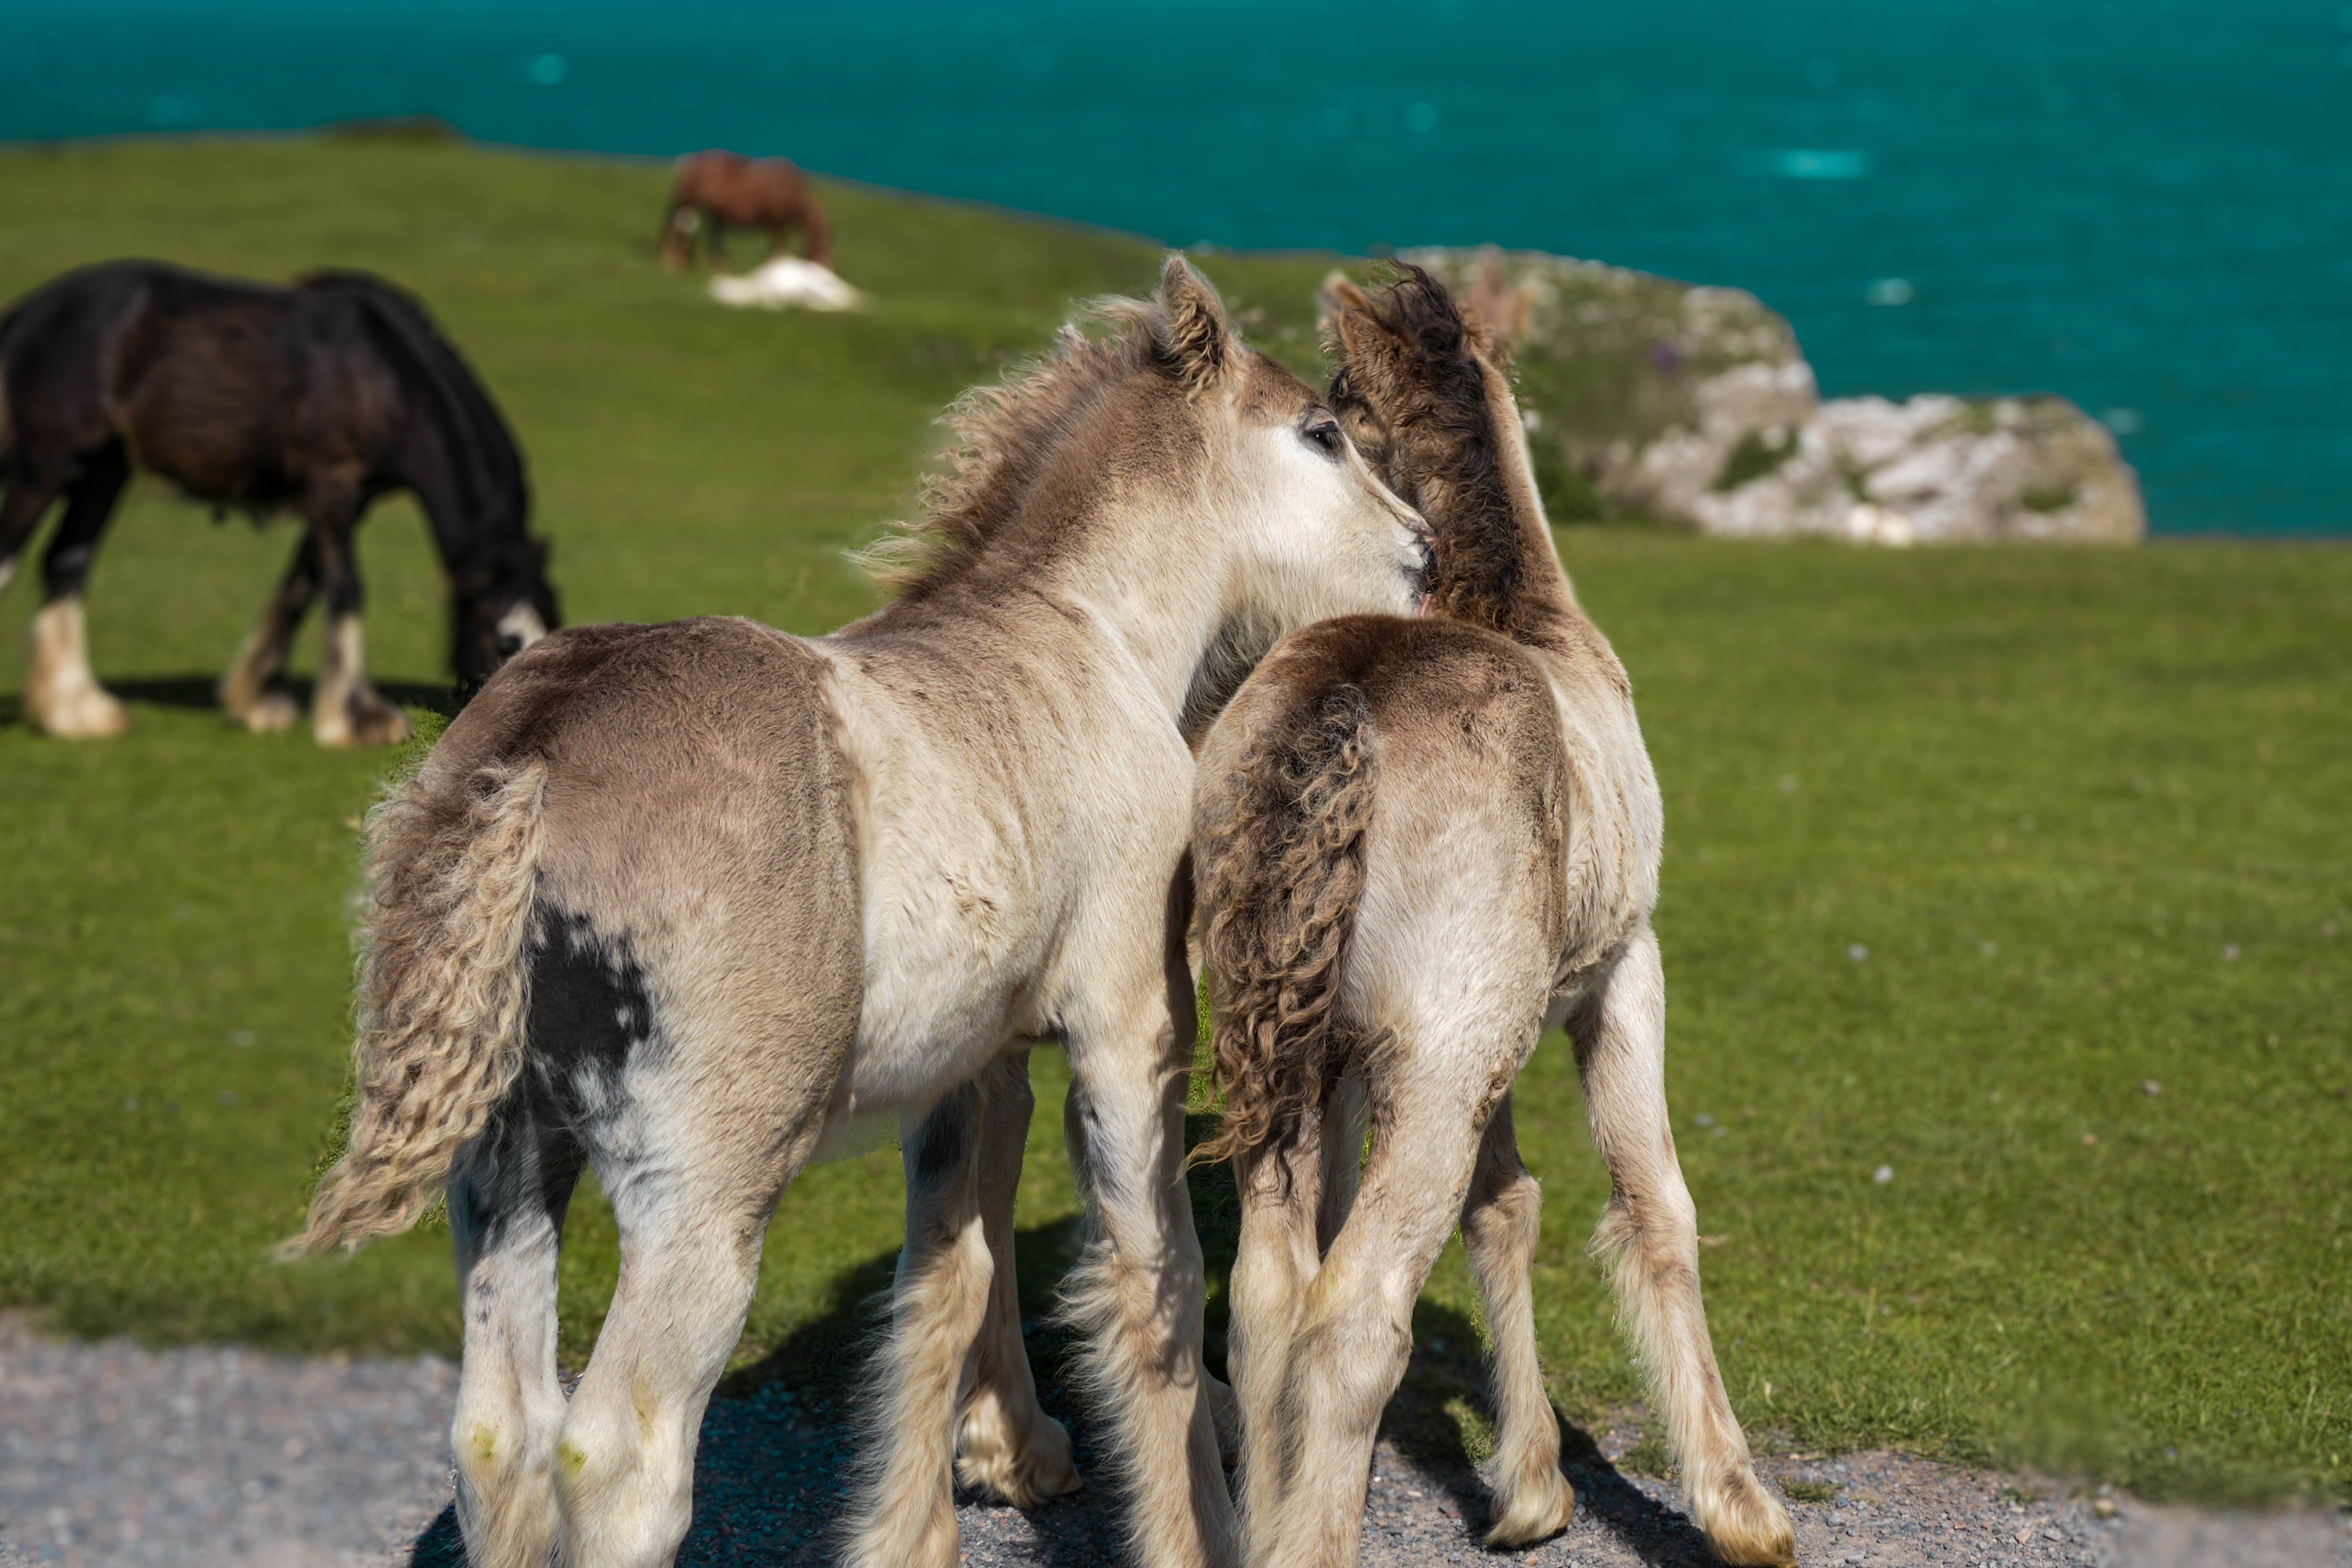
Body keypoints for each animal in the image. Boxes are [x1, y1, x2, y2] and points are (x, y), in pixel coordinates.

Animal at [0, 260, 559, 746]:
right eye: (504, 640)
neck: (384, 377)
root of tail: (33, 311)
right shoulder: (332, 487)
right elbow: (343, 588)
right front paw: (357, 720)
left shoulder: (350, 500)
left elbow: (300, 588)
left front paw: (257, 699)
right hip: (44, 469)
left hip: (102, 469)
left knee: (67, 564)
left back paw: (75, 712)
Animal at [289, 256, 1434, 1568]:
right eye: (1322, 431)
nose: (1421, 549)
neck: (1089, 641)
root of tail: (536, 754)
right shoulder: (1129, 1025)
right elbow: (1155, 1278)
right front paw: (1185, 1518)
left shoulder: (964, 1065)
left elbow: (948, 1276)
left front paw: (962, 1493)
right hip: (700, 1195)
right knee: (618, 1453)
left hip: (509, 1161)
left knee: (499, 1430)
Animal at [660, 150, 834, 274]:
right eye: (821, 261)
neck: (791, 191)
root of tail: (691, 160)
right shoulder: (777, 224)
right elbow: (777, 253)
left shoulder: (777, 225)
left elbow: (772, 253)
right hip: (690, 204)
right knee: (680, 231)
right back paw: (675, 265)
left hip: (713, 213)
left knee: (708, 238)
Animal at [1191, 270, 1796, 1568]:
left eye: (1339, 413)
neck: (1528, 613)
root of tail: (1345, 696)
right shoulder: (1622, 971)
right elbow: (1654, 1203)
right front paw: (1740, 1506)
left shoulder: (1415, 1045)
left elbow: (1504, 1205)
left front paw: (1526, 1487)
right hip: (1439, 1055)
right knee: (1353, 1314)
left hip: (1294, 1057)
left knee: (1267, 1296)